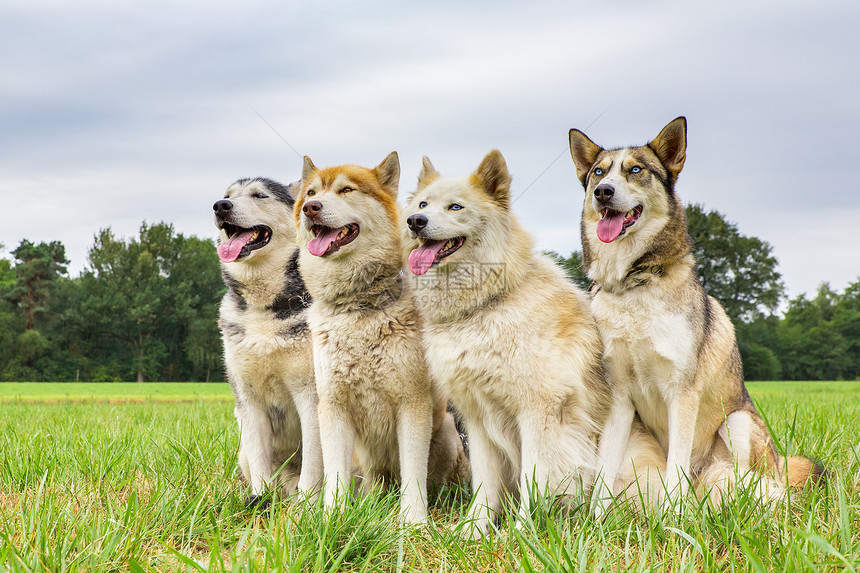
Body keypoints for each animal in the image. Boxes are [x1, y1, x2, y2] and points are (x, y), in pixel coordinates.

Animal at [214, 177, 322, 502]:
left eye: (259, 195)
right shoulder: (248, 402)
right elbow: (260, 461)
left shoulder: (310, 397)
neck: (264, 308)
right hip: (242, 451)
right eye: (227, 195)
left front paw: (307, 505)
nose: (220, 206)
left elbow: (313, 464)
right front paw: (259, 499)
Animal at [292, 152, 466, 524]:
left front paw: (414, 521)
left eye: (345, 190)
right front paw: (332, 516)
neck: (357, 306)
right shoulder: (333, 407)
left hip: (445, 429)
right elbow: (335, 474)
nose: (311, 208)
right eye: (311, 192)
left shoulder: (413, 403)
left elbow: (414, 472)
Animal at [404, 150, 612, 536]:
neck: (485, 305)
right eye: (423, 204)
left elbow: (535, 476)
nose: (414, 221)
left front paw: (522, 531)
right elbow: (485, 482)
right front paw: (474, 530)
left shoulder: (540, 414)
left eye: (455, 206)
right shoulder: (477, 419)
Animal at [568, 118, 824, 512]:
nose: (603, 192)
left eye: (636, 170)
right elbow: (603, 471)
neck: (634, 285)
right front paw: (594, 518)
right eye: (598, 172)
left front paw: (674, 517)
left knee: (755, 482)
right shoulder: (620, 397)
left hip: (737, 423)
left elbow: (677, 466)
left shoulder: (682, 393)